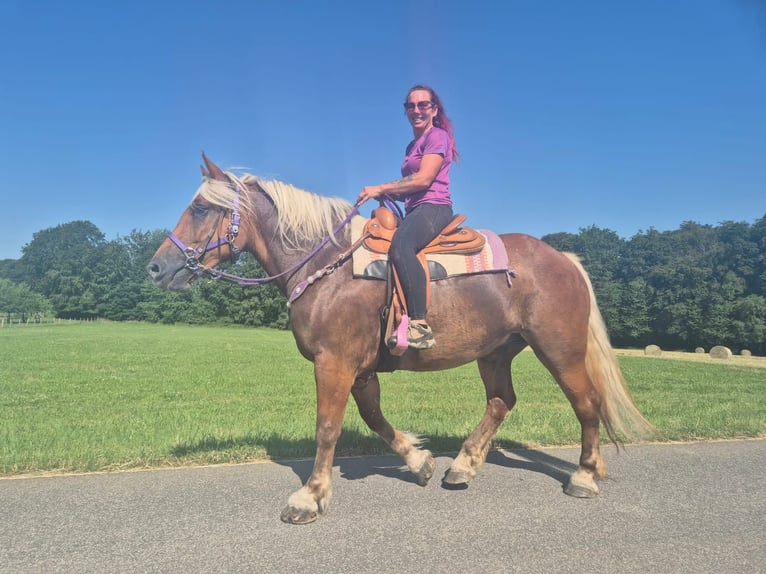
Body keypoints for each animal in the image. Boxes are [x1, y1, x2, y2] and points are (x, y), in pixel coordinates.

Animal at [147, 154, 656, 524]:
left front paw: (310, 497)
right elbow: (374, 418)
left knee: (586, 403)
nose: (155, 267)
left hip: (559, 348)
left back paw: (585, 475)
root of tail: (565, 258)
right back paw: (462, 466)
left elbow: (327, 427)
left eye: (200, 207)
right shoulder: (359, 369)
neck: (327, 265)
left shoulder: (334, 362)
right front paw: (419, 460)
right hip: (495, 352)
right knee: (501, 402)